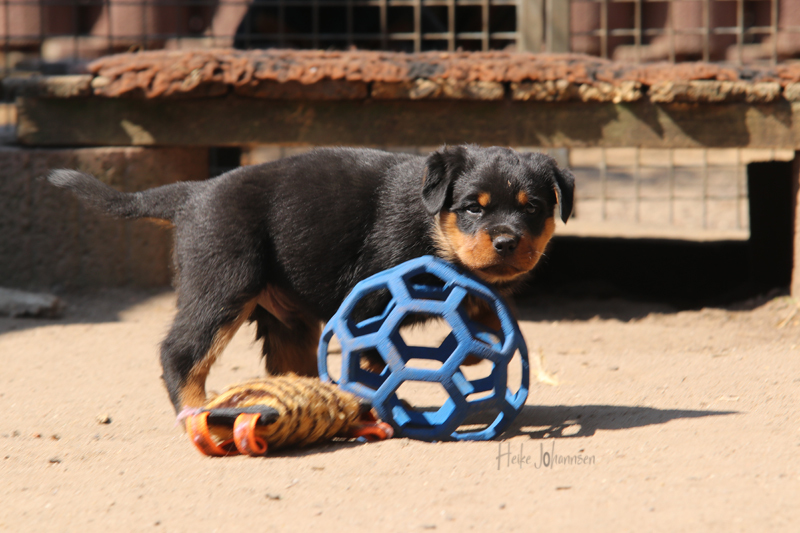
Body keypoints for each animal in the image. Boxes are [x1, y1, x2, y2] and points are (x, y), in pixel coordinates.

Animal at [48, 145, 574, 415]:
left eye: (532, 207)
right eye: (472, 208)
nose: (506, 242)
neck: (432, 225)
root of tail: (193, 194)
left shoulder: (474, 285)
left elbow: (486, 311)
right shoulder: (373, 300)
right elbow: (373, 360)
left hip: (285, 319)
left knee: (287, 363)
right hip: (223, 281)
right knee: (180, 351)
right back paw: (196, 410)